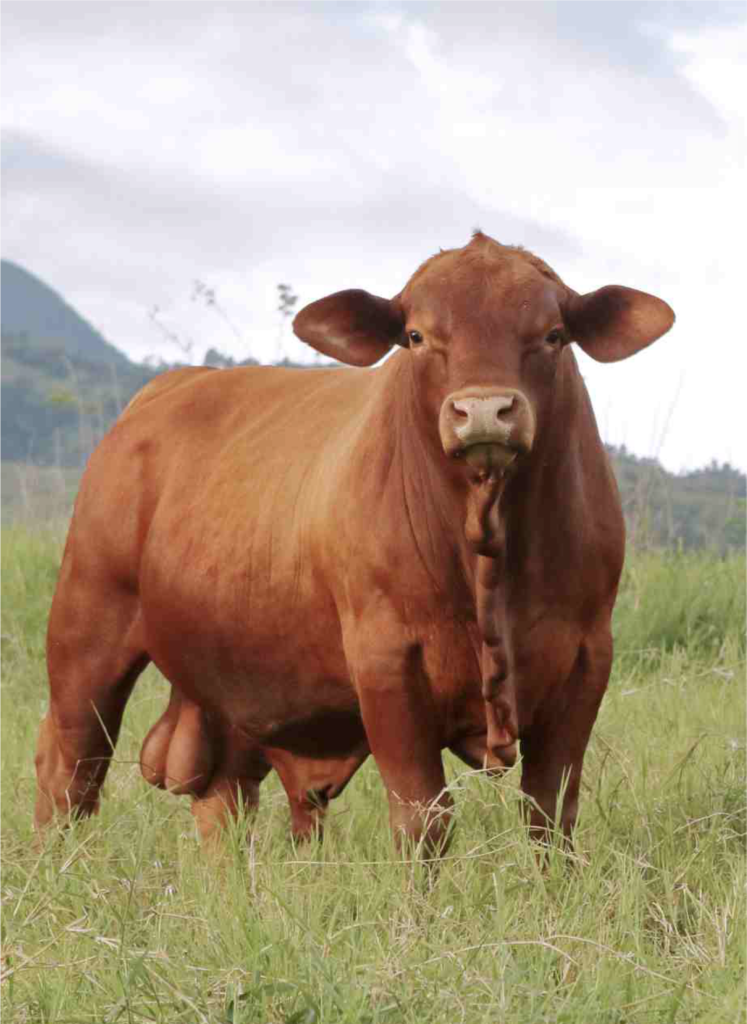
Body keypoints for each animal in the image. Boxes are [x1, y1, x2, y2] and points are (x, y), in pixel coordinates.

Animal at [34, 235, 672, 851]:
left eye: (553, 334)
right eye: (416, 335)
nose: (485, 411)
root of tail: (168, 387)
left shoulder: (588, 654)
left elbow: (550, 814)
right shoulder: (385, 656)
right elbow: (423, 818)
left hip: (239, 677)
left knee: (223, 795)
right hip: (88, 624)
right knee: (69, 765)